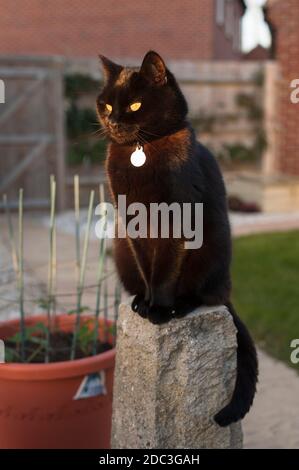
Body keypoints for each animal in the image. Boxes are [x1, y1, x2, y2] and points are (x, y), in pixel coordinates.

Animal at [97, 50, 258, 426]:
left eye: (135, 105)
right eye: (107, 105)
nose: (114, 122)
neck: (139, 152)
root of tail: (226, 290)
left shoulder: (176, 222)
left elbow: (165, 269)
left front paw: (158, 308)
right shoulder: (132, 225)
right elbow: (148, 267)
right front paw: (147, 303)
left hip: (210, 250)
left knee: (202, 293)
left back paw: (177, 306)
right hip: (120, 249)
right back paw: (139, 300)